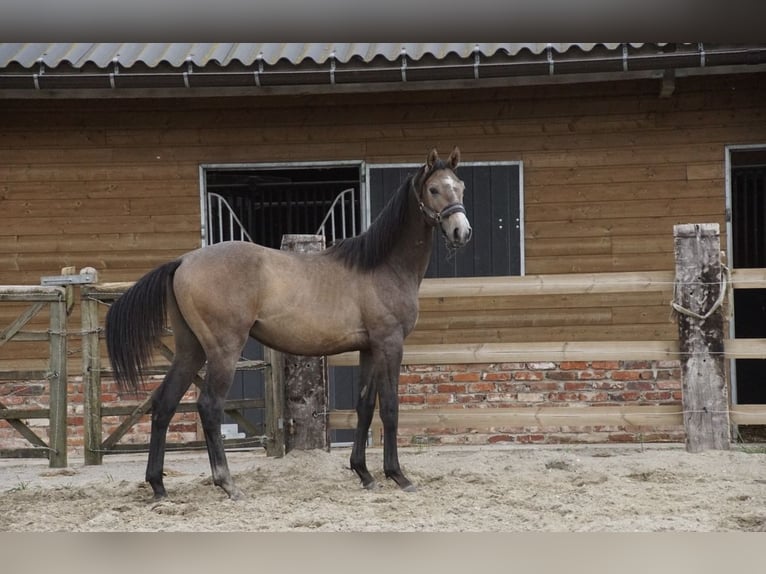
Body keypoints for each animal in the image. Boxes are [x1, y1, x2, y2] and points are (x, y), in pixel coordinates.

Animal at [105, 146, 472, 502]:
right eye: (434, 189)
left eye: (461, 187)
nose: (462, 231)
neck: (380, 266)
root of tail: (183, 261)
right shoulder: (390, 343)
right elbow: (391, 408)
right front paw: (398, 476)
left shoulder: (369, 348)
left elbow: (365, 406)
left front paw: (364, 474)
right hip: (223, 350)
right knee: (209, 406)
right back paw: (228, 484)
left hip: (190, 350)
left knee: (164, 404)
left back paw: (158, 487)